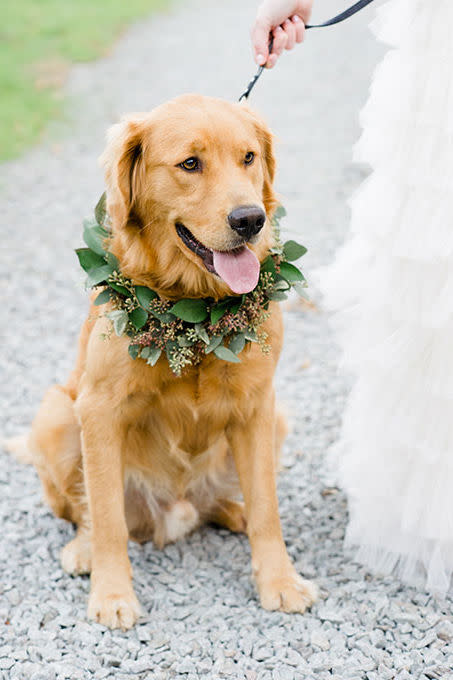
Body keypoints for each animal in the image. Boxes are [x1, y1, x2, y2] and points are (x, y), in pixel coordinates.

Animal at [18, 94, 318, 628]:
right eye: (190, 164)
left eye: (248, 157)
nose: (250, 219)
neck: (195, 309)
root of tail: (172, 511)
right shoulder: (98, 407)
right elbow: (107, 515)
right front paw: (112, 594)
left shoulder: (258, 406)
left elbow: (268, 507)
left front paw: (280, 582)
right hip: (55, 414)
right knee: (87, 510)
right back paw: (83, 550)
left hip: (277, 422)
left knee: (222, 502)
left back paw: (233, 510)